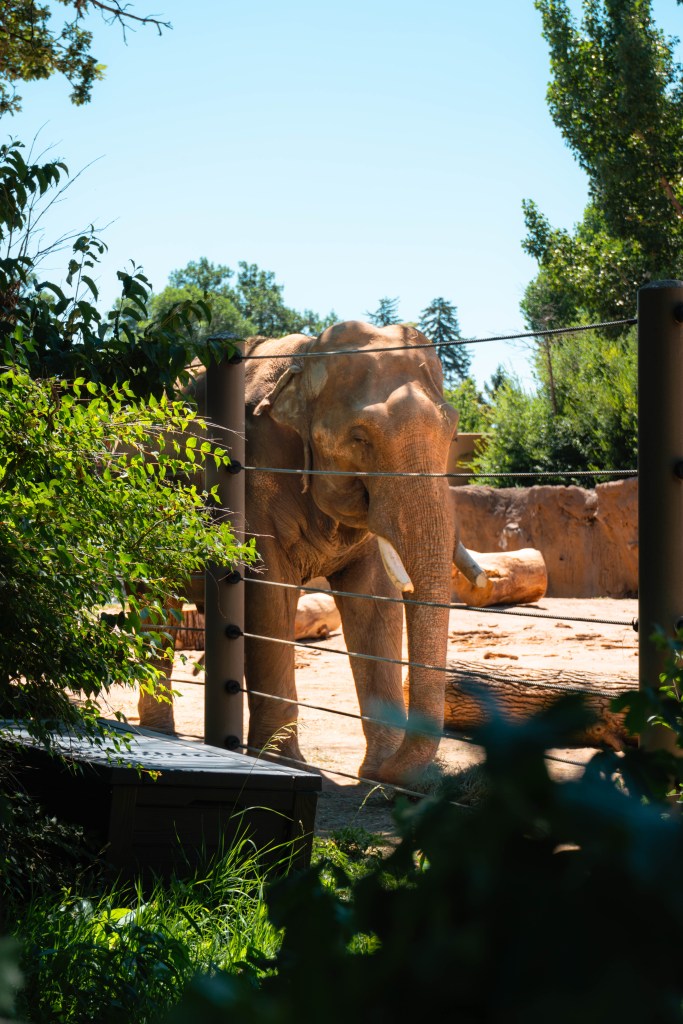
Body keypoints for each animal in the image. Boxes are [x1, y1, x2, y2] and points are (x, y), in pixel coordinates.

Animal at [143, 319, 485, 782]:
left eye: (452, 433)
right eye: (359, 438)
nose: (393, 774)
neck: (305, 361)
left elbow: (376, 603)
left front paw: (375, 775)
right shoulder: (255, 479)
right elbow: (269, 599)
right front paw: (283, 763)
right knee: (154, 609)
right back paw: (162, 738)